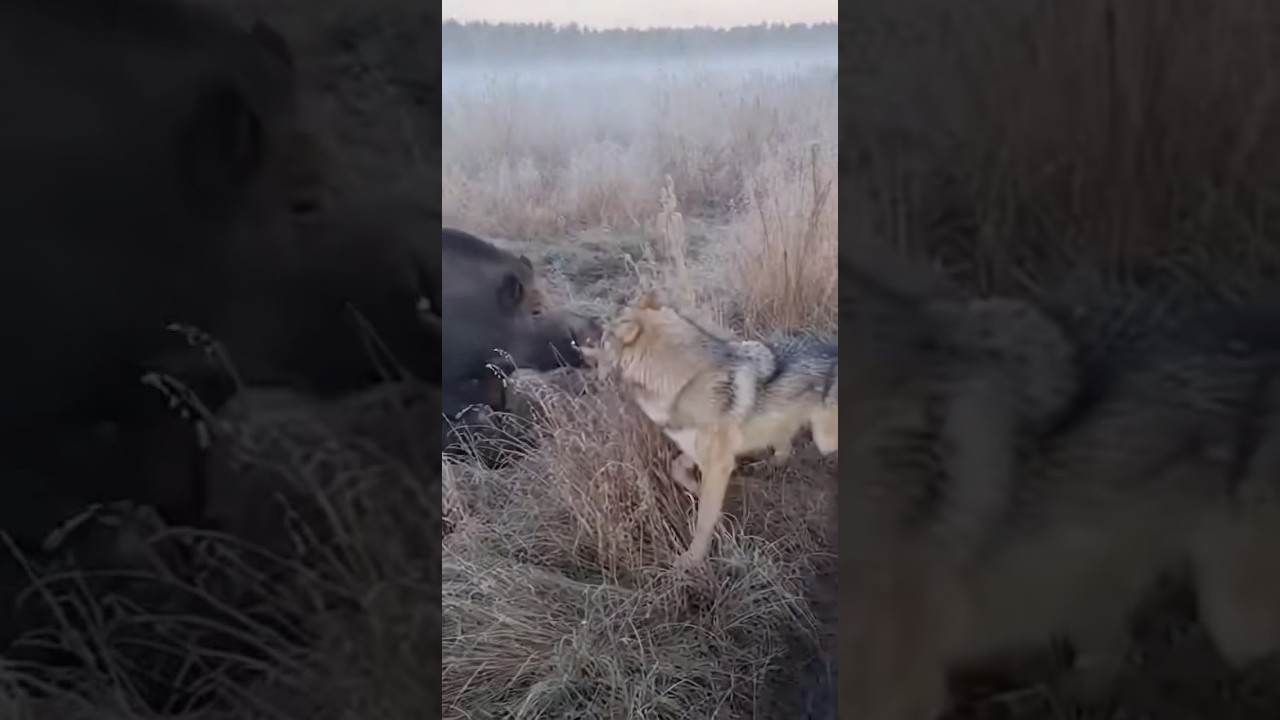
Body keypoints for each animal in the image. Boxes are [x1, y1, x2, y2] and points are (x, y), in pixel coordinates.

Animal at [582, 290, 838, 567]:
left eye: (603, 336)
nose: (581, 334)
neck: (685, 381)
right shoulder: (697, 453)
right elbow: (678, 471)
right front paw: (699, 492)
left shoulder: (718, 464)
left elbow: (703, 522)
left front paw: (690, 561)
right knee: (784, 446)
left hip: (824, 439)